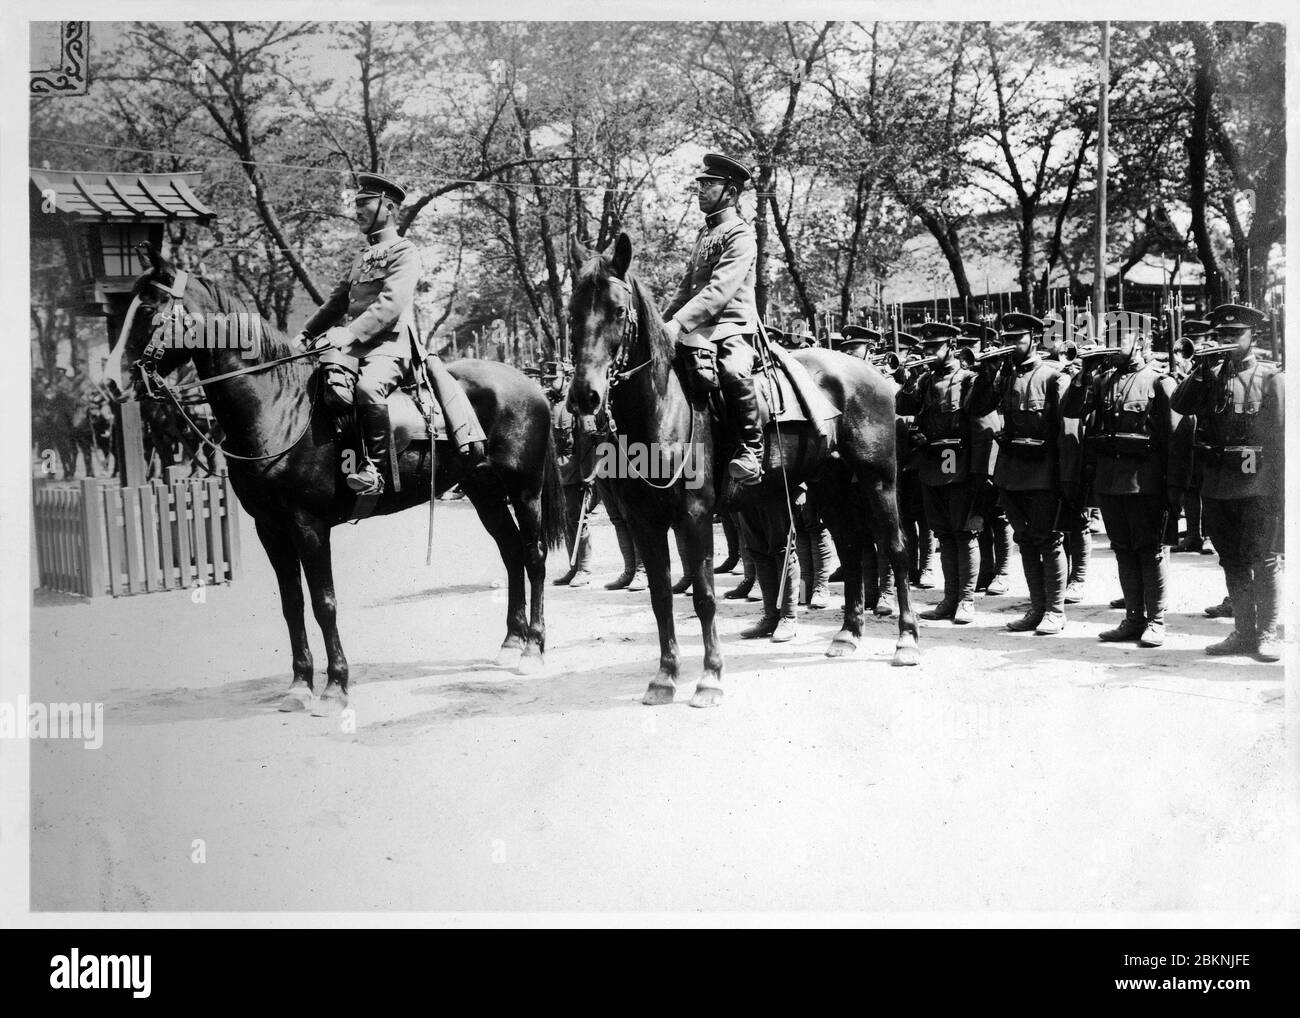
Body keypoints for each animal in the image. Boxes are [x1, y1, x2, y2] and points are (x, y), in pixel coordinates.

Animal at [107, 248, 564, 712]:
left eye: (147, 309)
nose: (110, 381)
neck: (280, 409)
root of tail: (531, 385)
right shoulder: (269, 528)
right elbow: (292, 604)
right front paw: (299, 684)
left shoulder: (309, 526)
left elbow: (324, 603)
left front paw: (335, 686)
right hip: (484, 491)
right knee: (511, 552)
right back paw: (510, 642)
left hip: (524, 491)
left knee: (534, 556)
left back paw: (533, 649)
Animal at [566, 235, 915, 707]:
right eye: (572, 311)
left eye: (618, 310)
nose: (585, 396)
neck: (662, 409)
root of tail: (873, 373)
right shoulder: (646, 522)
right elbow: (660, 598)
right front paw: (664, 678)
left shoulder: (694, 518)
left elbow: (704, 598)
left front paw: (710, 677)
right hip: (830, 487)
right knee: (851, 548)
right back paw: (847, 634)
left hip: (879, 481)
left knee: (894, 548)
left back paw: (906, 641)